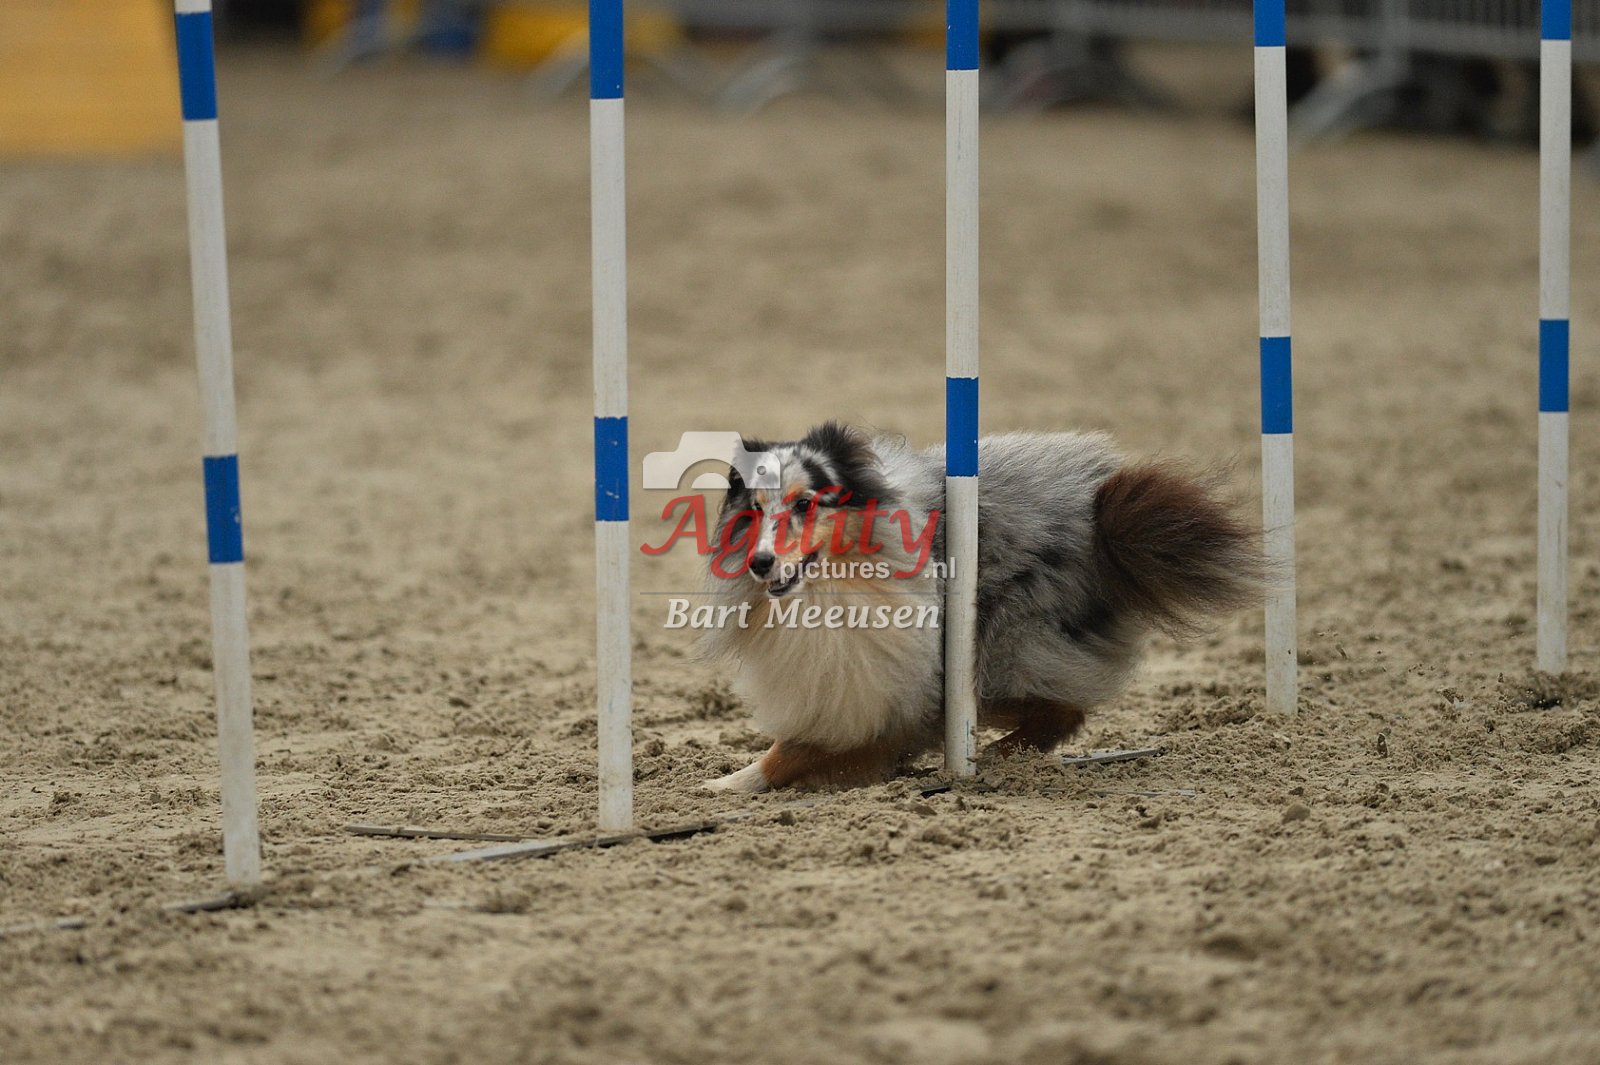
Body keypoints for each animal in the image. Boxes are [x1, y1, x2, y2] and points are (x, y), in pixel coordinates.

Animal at [699, 422, 1264, 793]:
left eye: (804, 504)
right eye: (754, 510)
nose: (760, 563)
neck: (835, 585)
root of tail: (1103, 510)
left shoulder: (881, 680)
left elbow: (792, 750)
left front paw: (717, 788)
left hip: (1002, 648)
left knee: (1063, 712)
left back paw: (995, 757)